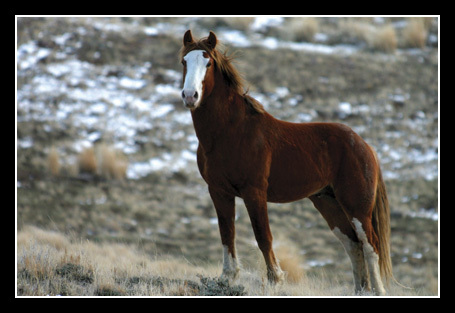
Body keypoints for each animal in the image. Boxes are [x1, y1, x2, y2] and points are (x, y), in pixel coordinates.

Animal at [180, 29, 394, 294]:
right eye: (184, 62)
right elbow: (227, 234)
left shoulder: (254, 192)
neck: (231, 131)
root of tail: (364, 146)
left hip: (357, 206)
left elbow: (263, 236)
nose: (190, 96)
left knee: (370, 245)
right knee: (352, 245)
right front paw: (227, 278)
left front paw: (275, 280)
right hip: (328, 203)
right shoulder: (219, 191)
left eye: (208, 63)